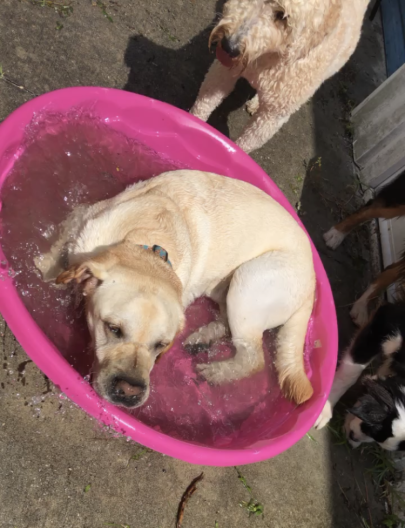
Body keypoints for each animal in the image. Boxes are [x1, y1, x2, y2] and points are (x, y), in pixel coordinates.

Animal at [191, 0, 370, 153]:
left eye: (282, 16)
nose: (229, 47)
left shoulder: (273, 116)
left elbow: (246, 144)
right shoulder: (223, 72)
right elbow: (203, 105)